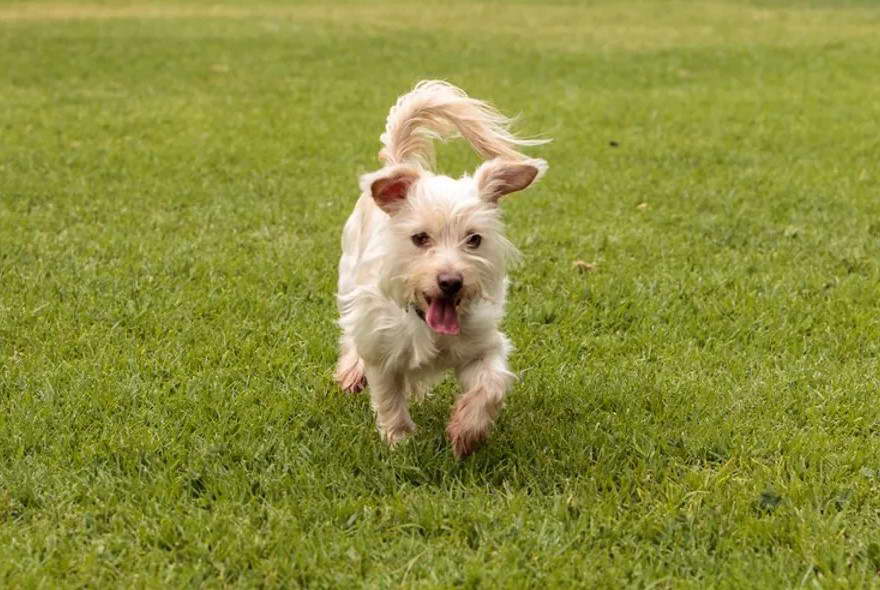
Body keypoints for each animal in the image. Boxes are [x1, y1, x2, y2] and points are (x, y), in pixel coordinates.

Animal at [334, 80, 548, 458]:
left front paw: (467, 431)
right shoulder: (382, 352)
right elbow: (389, 398)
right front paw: (400, 441)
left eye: (474, 239)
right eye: (420, 238)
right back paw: (351, 370)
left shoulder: (483, 344)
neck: (428, 326)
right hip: (349, 279)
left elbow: (491, 384)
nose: (451, 281)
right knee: (349, 333)